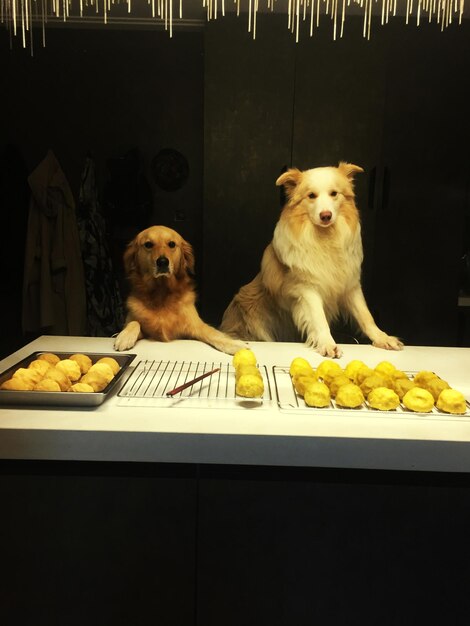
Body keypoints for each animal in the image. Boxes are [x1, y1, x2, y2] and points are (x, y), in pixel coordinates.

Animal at [114, 225, 246, 354]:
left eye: (172, 244)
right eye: (148, 244)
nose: (162, 262)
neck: (161, 292)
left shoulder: (195, 326)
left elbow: (213, 333)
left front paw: (234, 344)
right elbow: (134, 322)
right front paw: (124, 337)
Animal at [221, 161, 404, 356]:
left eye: (334, 193)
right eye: (311, 196)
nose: (326, 216)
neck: (326, 238)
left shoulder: (351, 286)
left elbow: (365, 315)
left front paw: (383, 338)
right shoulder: (307, 288)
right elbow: (319, 318)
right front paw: (327, 343)